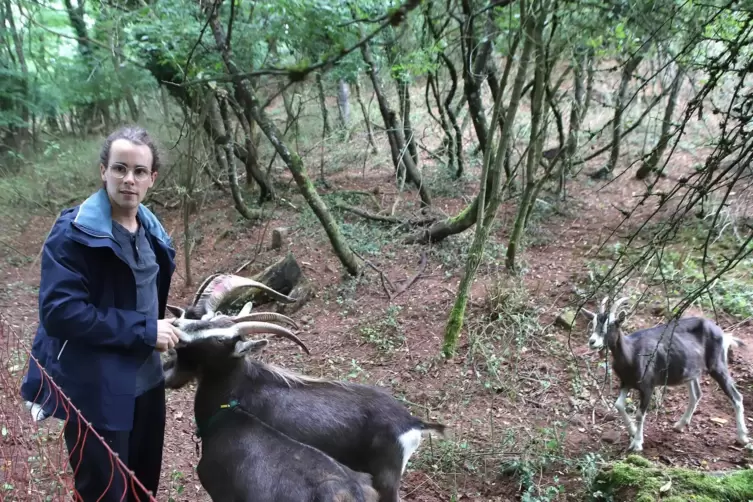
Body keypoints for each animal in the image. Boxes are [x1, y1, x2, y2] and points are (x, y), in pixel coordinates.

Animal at [580, 296, 748, 452]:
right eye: (593, 323)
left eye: (611, 325)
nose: (592, 341)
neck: (632, 352)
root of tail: (723, 334)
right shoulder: (626, 382)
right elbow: (619, 405)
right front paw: (633, 431)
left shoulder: (648, 386)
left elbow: (640, 414)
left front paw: (637, 444)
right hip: (691, 371)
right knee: (696, 394)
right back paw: (680, 425)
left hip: (718, 366)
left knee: (737, 397)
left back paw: (742, 437)